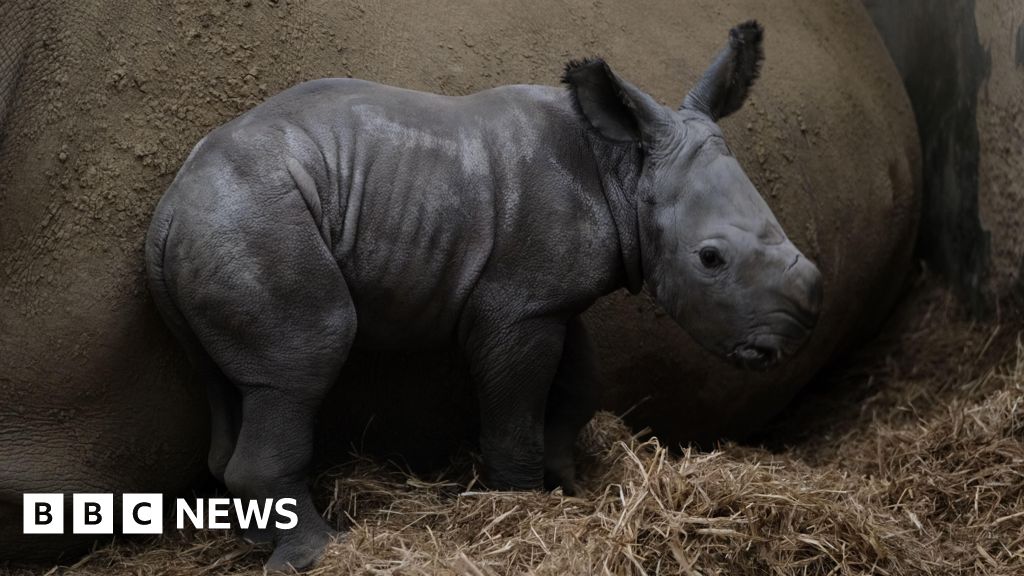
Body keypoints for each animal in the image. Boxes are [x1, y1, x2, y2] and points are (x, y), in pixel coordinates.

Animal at [145, 21, 821, 571]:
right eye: (711, 259)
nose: (792, 339)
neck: (624, 169)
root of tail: (168, 212)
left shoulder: (547, 298)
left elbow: (578, 385)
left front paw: (568, 487)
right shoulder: (515, 308)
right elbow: (514, 412)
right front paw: (522, 508)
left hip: (224, 227)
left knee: (235, 383)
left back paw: (265, 541)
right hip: (255, 221)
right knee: (302, 362)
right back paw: (323, 553)